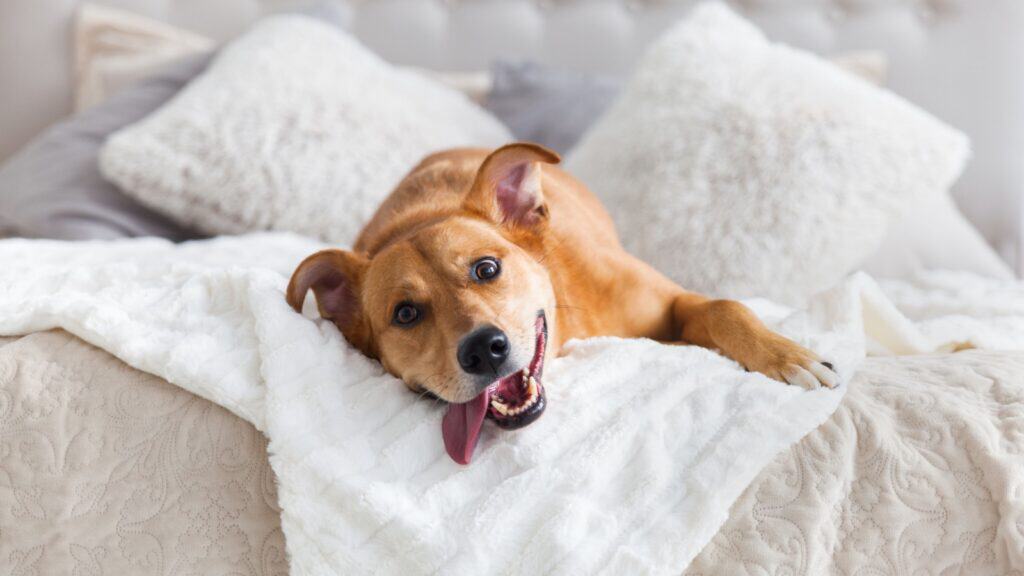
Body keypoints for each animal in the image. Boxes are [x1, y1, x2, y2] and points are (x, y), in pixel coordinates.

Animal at [284, 142, 835, 461]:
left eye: (487, 269)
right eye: (405, 314)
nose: (483, 350)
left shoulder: (675, 302)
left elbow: (725, 307)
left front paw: (787, 355)